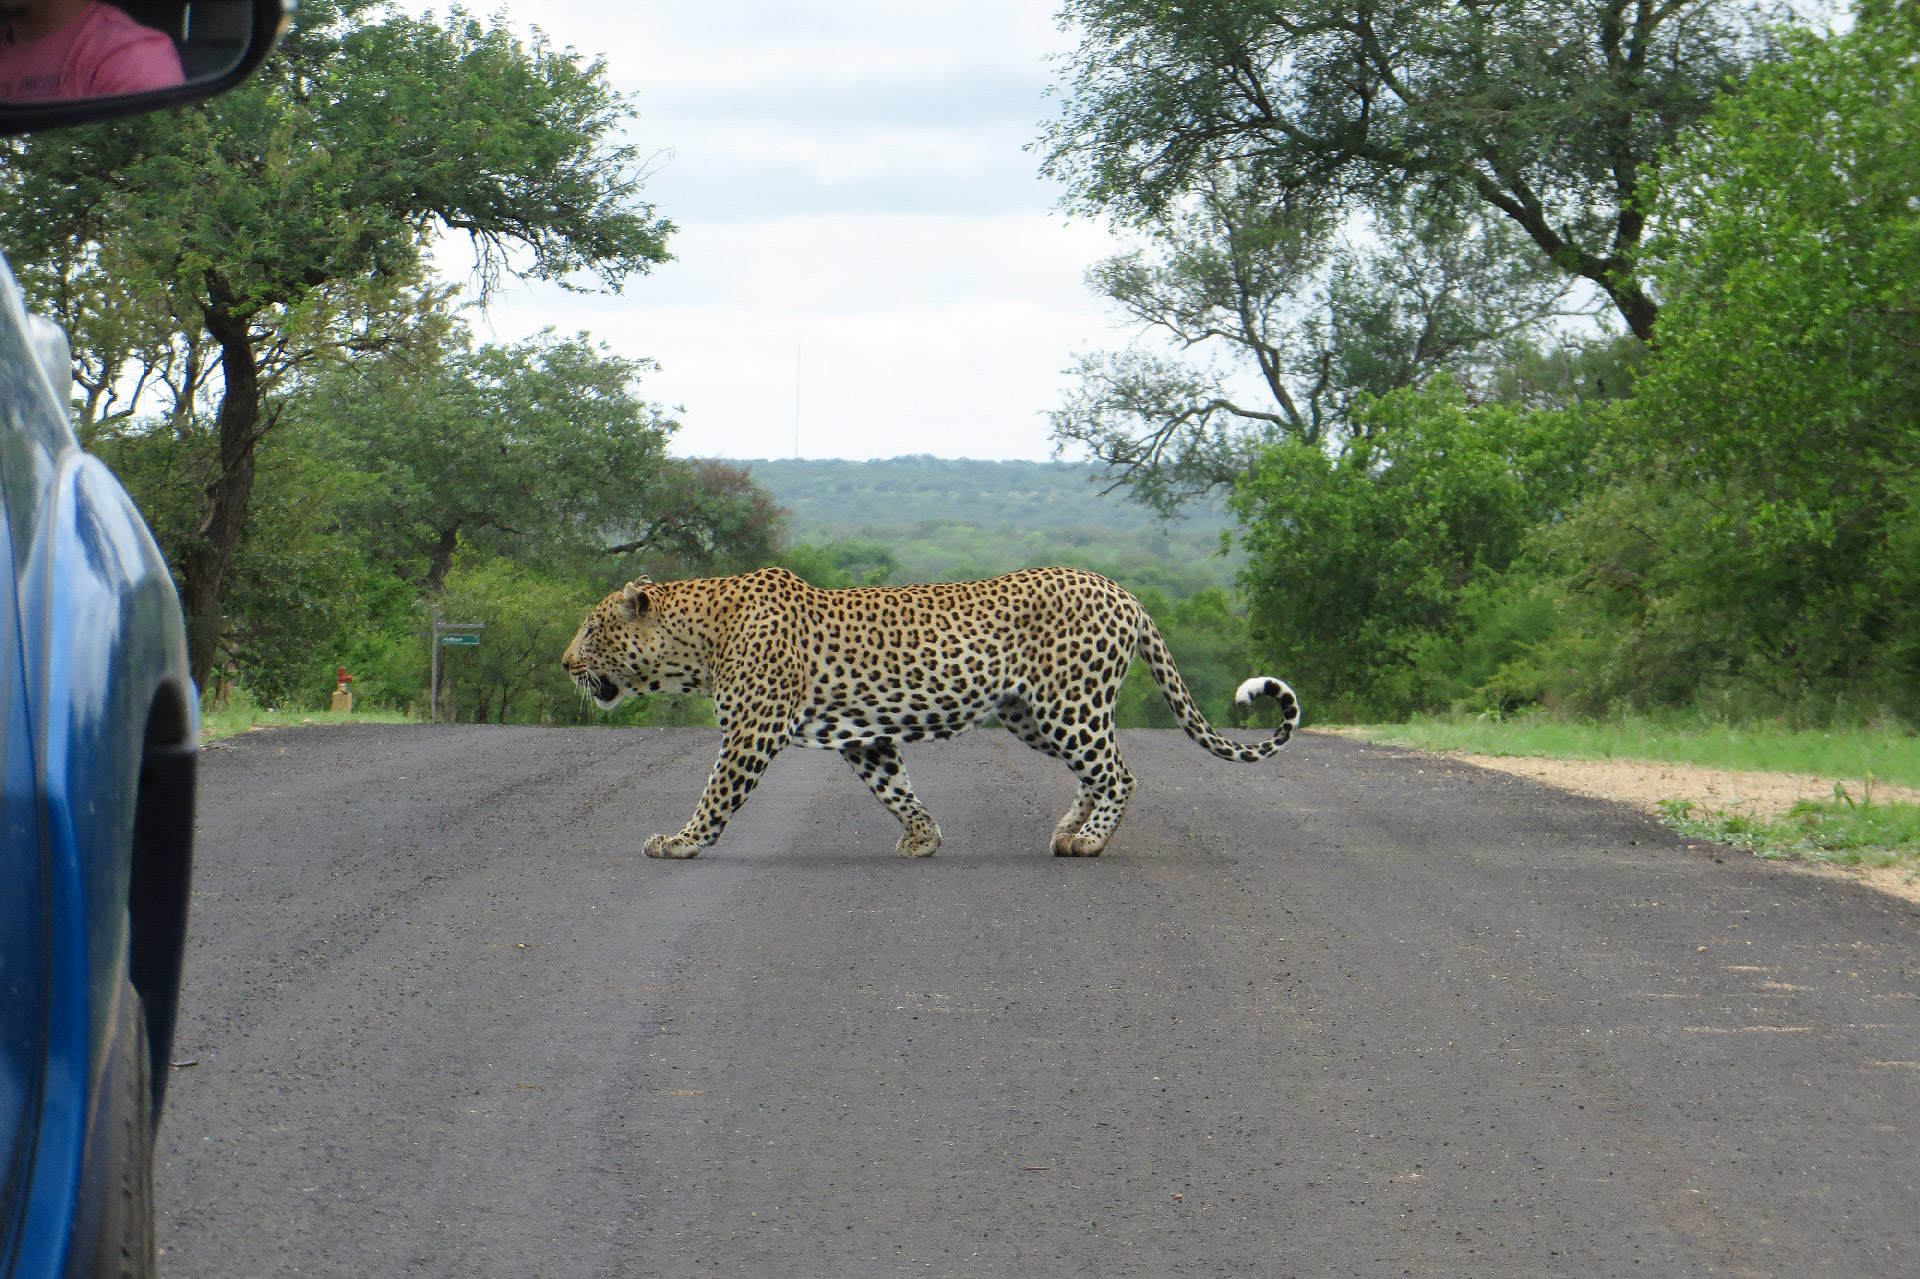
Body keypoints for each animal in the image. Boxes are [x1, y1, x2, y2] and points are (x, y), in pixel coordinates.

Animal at [560, 564, 1297, 856]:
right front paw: (924, 838)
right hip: (1032, 713)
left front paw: (680, 842)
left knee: (1120, 773)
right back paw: (1068, 829)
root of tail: (1125, 592)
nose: (566, 664)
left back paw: (1088, 841)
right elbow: (896, 787)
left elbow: (716, 793)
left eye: (592, 629)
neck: (698, 640)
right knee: (1095, 773)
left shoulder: (753, 728)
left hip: (1070, 704)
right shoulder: (865, 737)